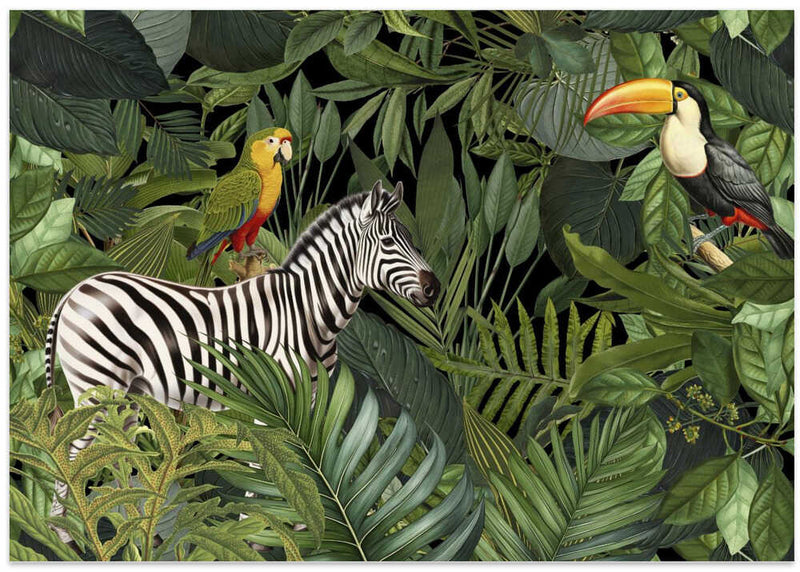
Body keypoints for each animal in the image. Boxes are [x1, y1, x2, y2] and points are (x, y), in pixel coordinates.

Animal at [44, 180, 440, 537]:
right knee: (72, 457)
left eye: (411, 240)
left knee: (117, 454)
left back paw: (130, 526)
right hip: (97, 388)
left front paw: (308, 527)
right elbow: (271, 462)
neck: (306, 312)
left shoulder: (310, 398)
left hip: (125, 397)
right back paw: (68, 537)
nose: (434, 288)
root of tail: (74, 290)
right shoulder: (275, 401)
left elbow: (307, 460)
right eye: (388, 243)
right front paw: (260, 530)